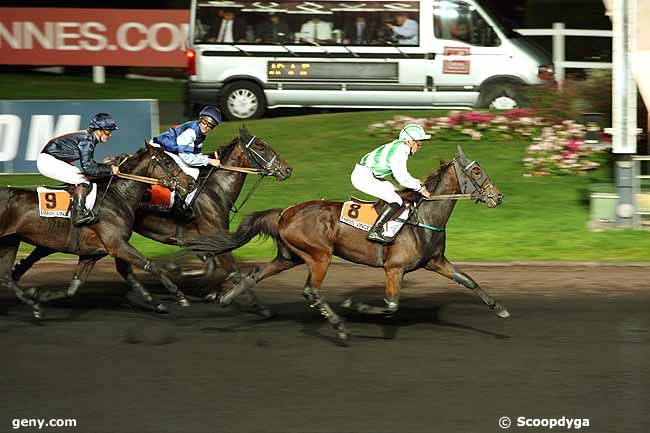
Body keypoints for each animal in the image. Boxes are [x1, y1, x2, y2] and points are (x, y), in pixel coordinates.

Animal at [0, 143, 191, 318]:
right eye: (167, 161)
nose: (190, 182)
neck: (118, 196)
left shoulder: (95, 253)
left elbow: (75, 287)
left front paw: (39, 295)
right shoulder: (117, 245)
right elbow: (151, 265)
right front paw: (179, 295)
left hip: (10, 241)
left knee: (5, 275)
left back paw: (33, 305)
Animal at [187, 145, 506, 340]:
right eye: (476, 171)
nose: (498, 197)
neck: (424, 216)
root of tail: (285, 212)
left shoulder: (435, 261)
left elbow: (468, 280)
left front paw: (499, 308)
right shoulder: (394, 269)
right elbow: (391, 305)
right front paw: (356, 304)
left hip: (289, 256)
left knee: (256, 274)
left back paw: (226, 298)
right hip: (319, 256)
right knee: (311, 291)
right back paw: (340, 326)